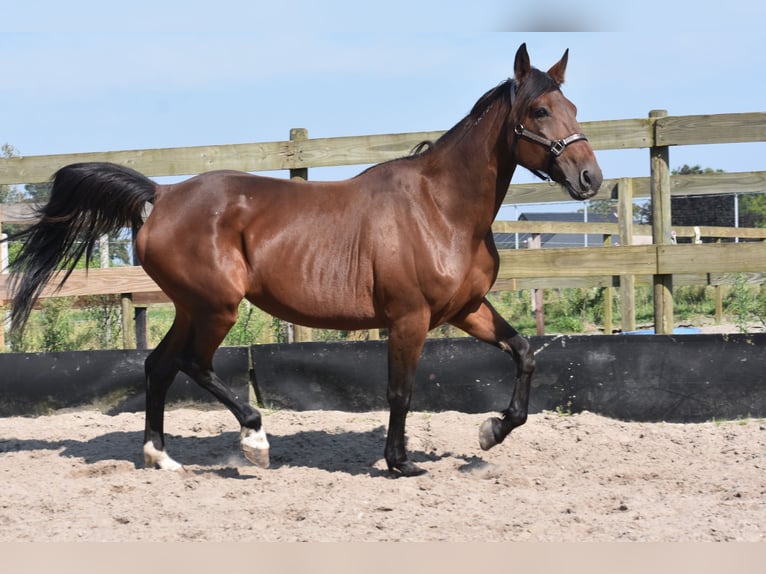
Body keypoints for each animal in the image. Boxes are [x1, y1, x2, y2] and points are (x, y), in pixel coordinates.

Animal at [3, 44, 604, 476]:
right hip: (217, 307)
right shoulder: (409, 319)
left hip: (191, 306)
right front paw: (400, 462)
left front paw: (491, 431)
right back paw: (254, 440)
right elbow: (401, 390)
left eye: (574, 107)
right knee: (194, 365)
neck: (441, 208)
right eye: (539, 110)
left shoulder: (466, 309)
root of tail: (162, 195)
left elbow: (524, 353)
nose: (589, 178)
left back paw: (161, 457)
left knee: (159, 366)